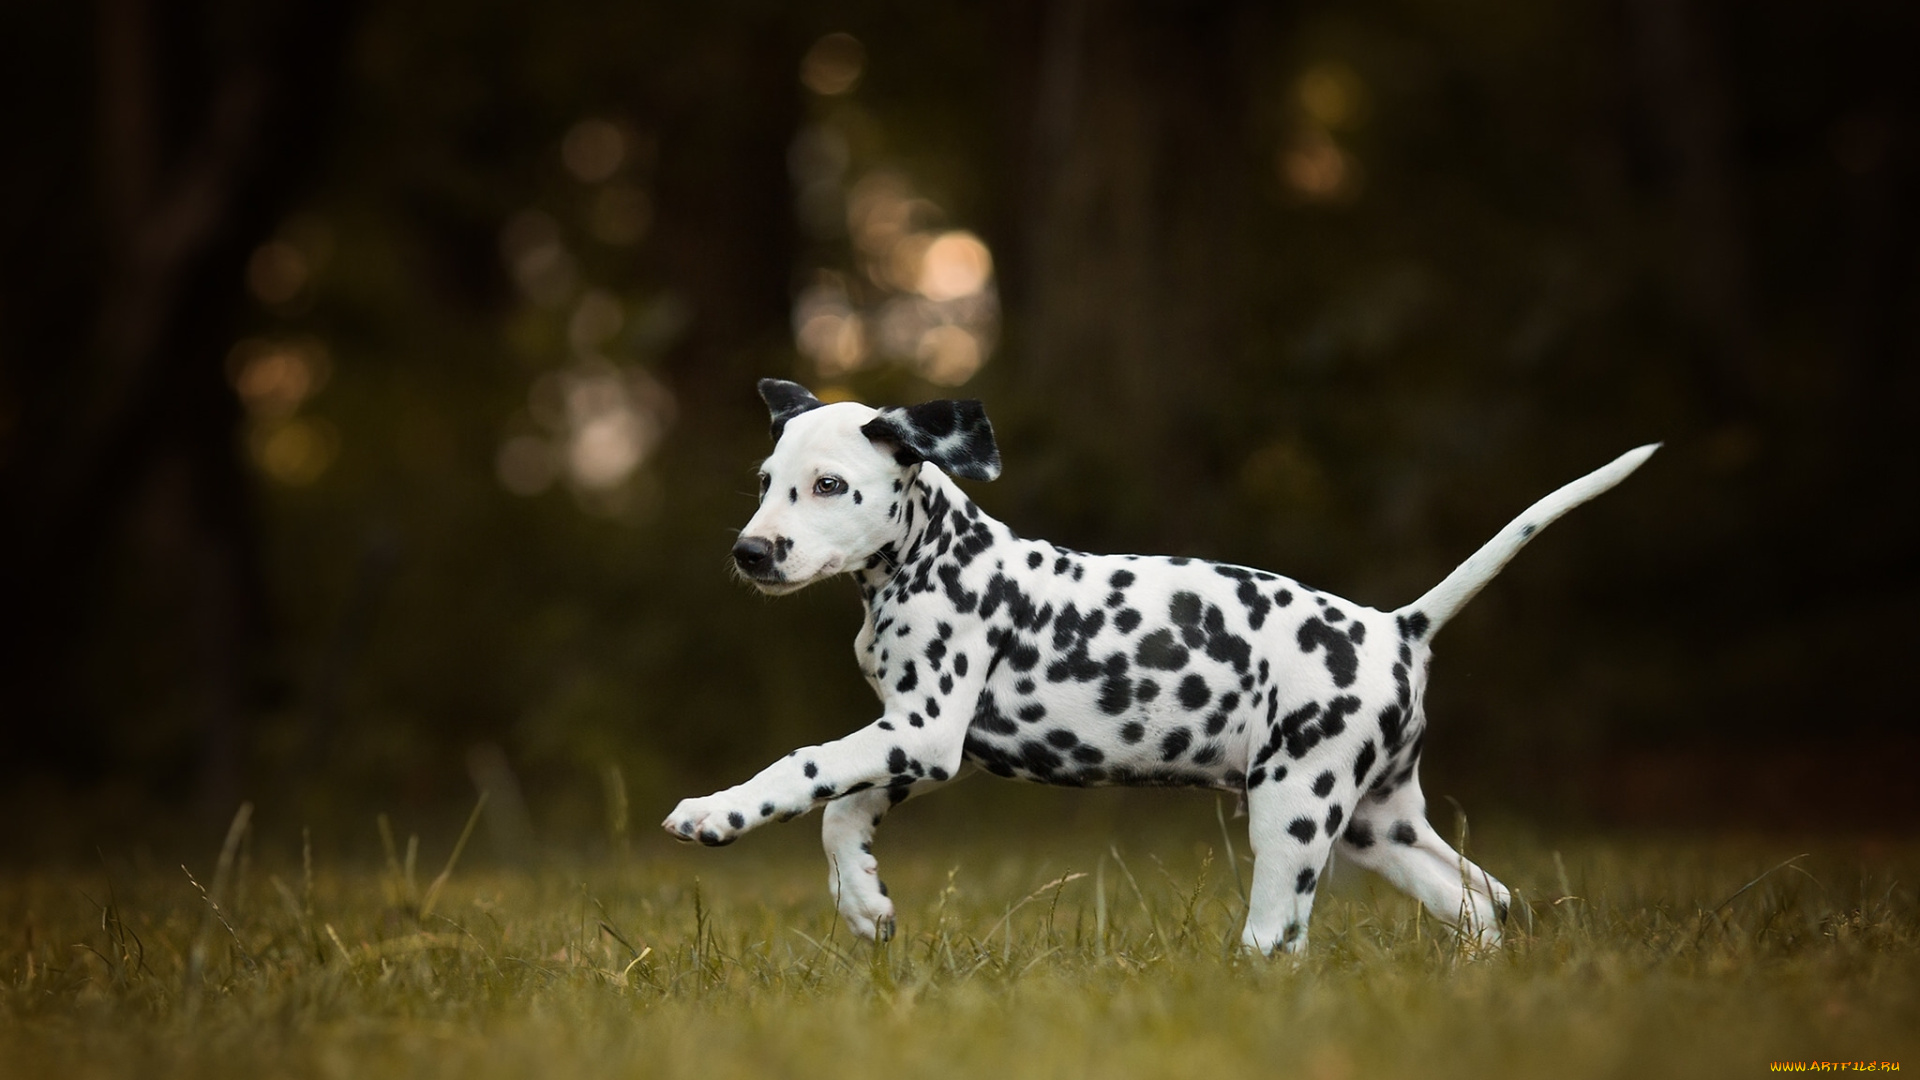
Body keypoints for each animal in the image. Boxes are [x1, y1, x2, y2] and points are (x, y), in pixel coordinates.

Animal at [668, 378, 1658, 949]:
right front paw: (865, 904)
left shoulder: (922, 731)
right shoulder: (927, 745)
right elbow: (841, 811)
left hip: (1294, 809)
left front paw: (716, 812)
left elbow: (803, 768)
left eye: (829, 486)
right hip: (1382, 824)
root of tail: (1396, 629)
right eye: (766, 482)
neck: (933, 558)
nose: (751, 553)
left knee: (1280, 935)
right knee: (1483, 903)